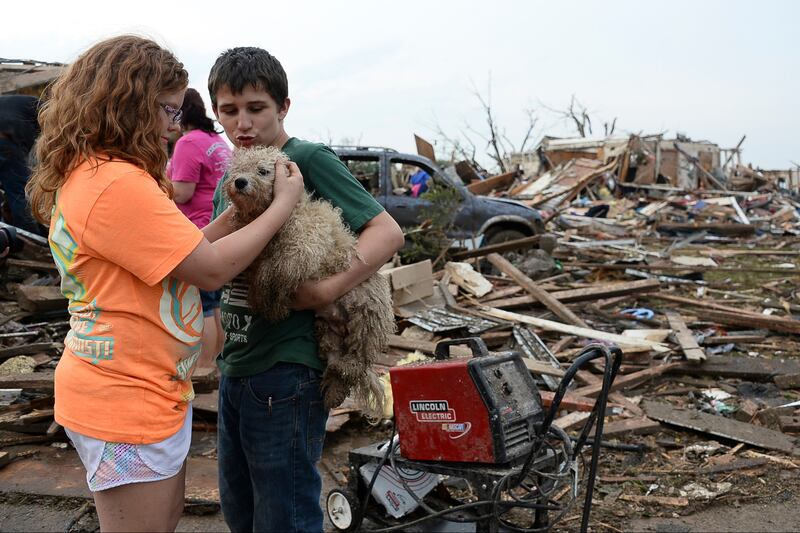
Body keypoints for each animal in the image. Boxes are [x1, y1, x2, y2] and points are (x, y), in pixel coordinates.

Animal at [223, 147, 392, 416]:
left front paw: (274, 305)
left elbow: (276, 273)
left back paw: (347, 369)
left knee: (358, 359)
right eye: (237, 169)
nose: (240, 182)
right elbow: (261, 274)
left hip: (368, 317)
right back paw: (334, 390)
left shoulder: (304, 247)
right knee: (335, 364)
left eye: (263, 170)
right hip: (327, 332)